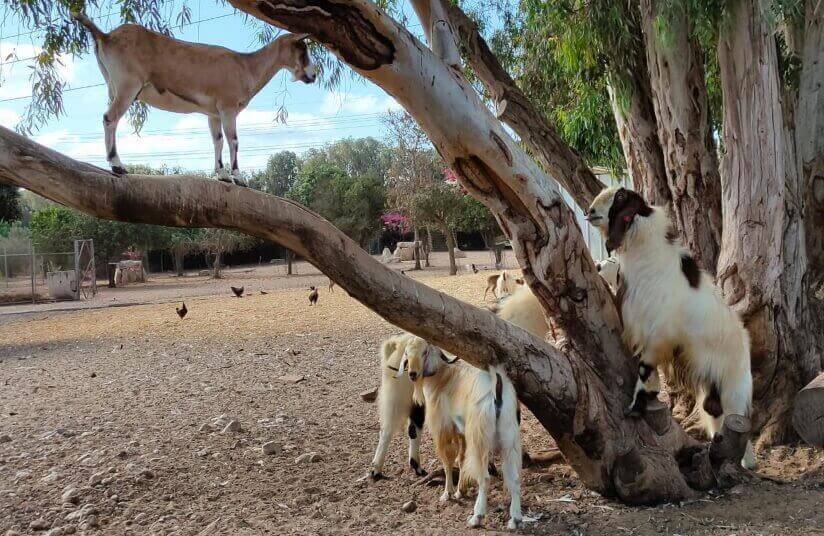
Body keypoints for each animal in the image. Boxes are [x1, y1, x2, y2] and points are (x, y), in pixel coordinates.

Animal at [584, 187, 752, 468]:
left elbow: (644, 367)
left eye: (620, 198)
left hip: (734, 389)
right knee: (714, 412)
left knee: (735, 418)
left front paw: (636, 406)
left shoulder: (660, 334)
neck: (650, 257)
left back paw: (746, 462)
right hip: (714, 387)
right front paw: (650, 395)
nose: (590, 211)